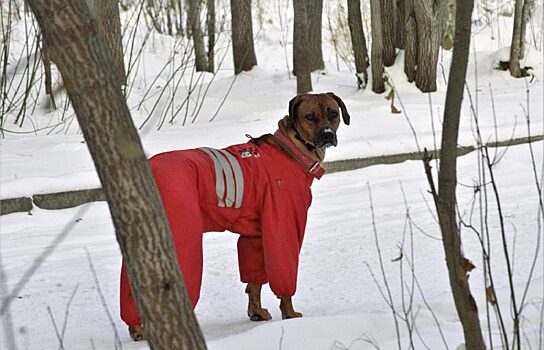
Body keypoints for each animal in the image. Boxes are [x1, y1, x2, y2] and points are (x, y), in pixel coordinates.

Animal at [120, 91, 350, 340]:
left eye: (333, 113)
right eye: (309, 116)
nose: (327, 135)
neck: (293, 148)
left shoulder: (255, 236)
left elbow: (254, 280)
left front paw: (256, 311)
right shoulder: (282, 223)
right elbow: (282, 273)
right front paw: (289, 314)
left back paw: (136, 327)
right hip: (181, 231)